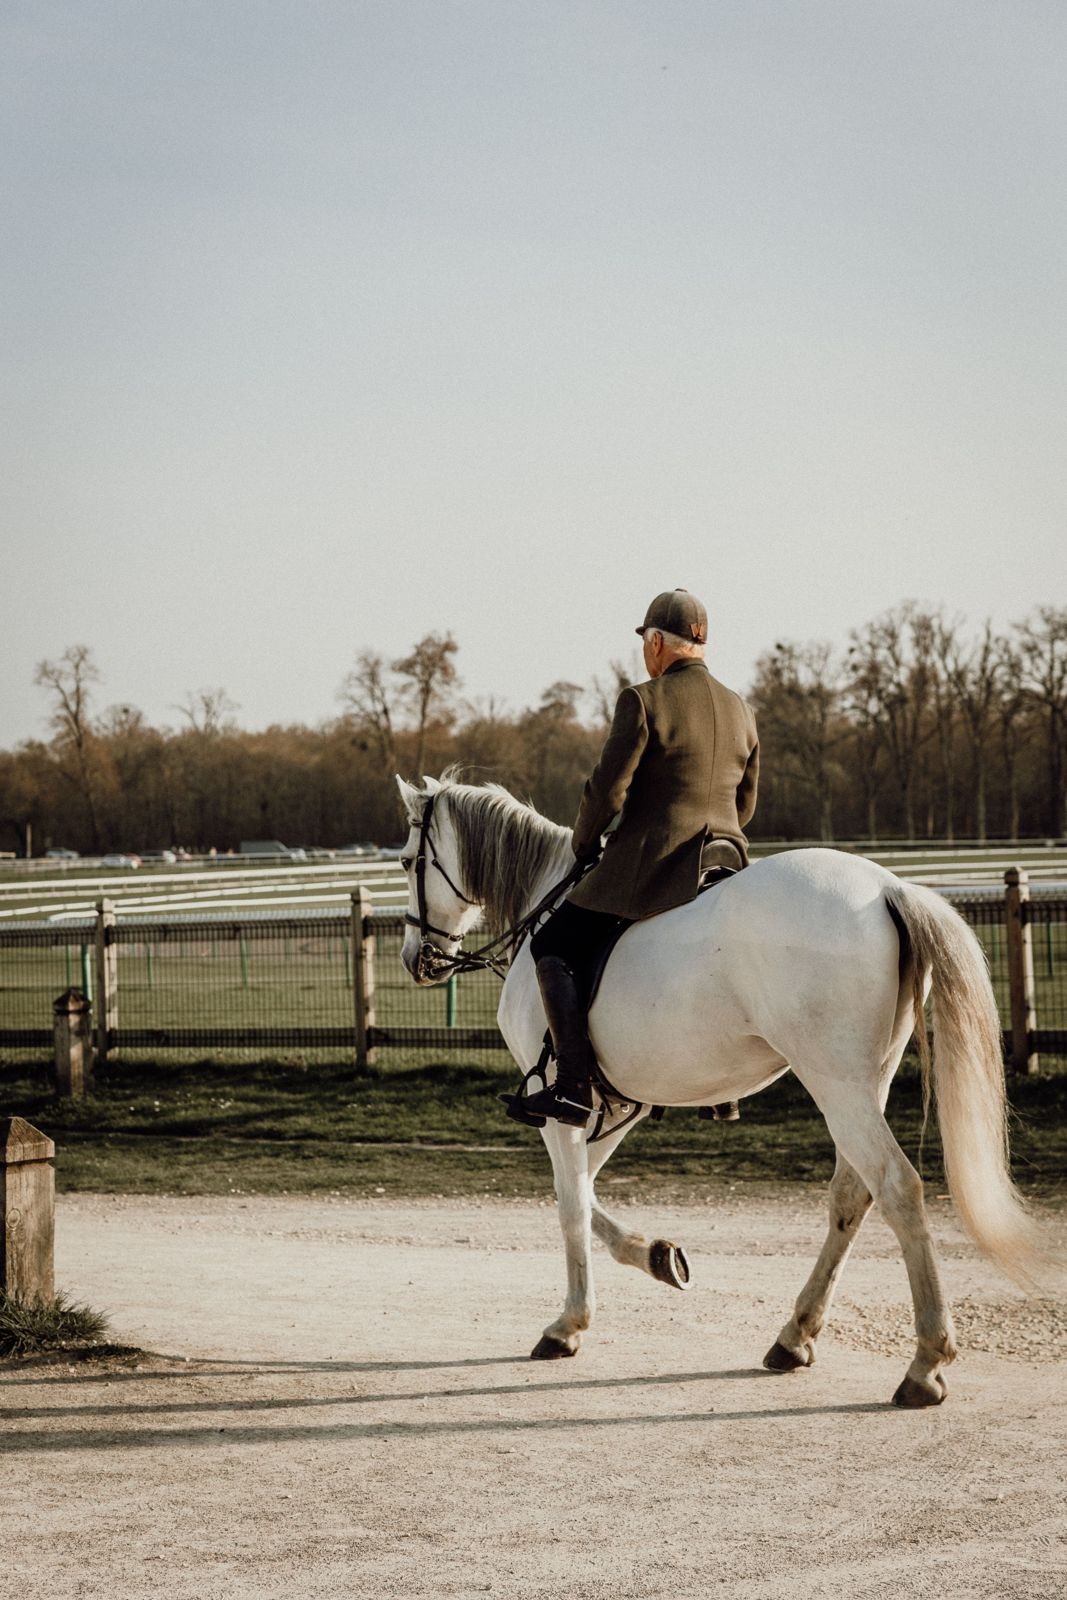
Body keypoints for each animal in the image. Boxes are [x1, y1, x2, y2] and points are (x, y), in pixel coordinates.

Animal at [395, 772, 1049, 1408]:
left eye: (405, 861)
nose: (416, 960)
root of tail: (888, 887)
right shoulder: (619, 1103)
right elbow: (584, 1191)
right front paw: (656, 1255)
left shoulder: (565, 1108)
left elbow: (570, 1204)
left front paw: (569, 1325)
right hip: (866, 1084)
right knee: (851, 1194)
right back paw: (794, 1337)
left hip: (835, 1082)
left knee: (897, 1188)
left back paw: (924, 1364)